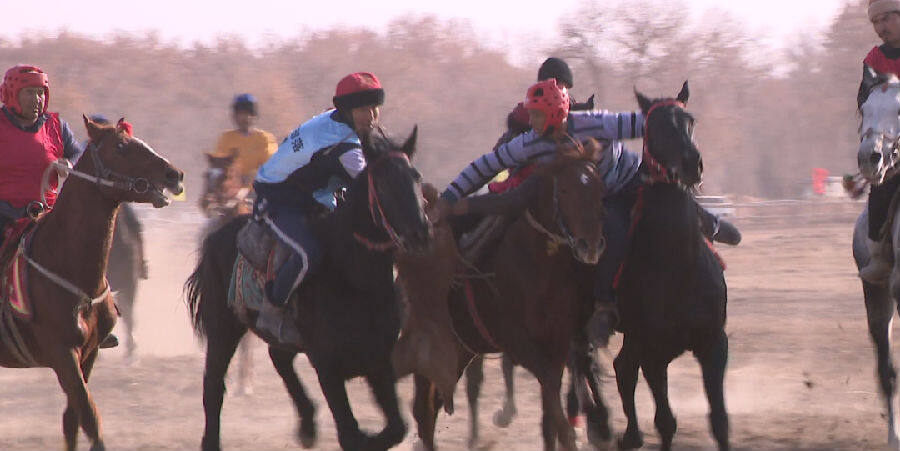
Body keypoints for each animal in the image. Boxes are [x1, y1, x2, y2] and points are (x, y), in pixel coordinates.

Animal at [0, 118, 183, 450]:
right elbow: (88, 414)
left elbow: (73, 419)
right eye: (121, 147)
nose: (173, 174)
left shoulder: (89, 351)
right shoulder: (62, 354)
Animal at [185, 127, 430, 451]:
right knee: (213, 384)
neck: (354, 276)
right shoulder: (327, 367)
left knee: (279, 358)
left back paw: (307, 425)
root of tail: (216, 235)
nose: (421, 232)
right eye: (384, 183)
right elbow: (351, 434)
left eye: (416, 177)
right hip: (223, 327)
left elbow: (396, 427)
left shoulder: (379, 361)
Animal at [394, 139, 604, 450]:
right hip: (429, 347)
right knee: (424, 411)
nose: (589, 245)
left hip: (463, 348)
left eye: (599, 187)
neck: (536, 266)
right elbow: (551, 396)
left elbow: (549, 409)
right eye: (565, 190)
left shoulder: (557, 342)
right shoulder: (517, 342)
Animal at [612, 81, 732, 451]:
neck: (679, 268)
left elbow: (720, 420)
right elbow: (665, 422)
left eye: (690, 121)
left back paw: (631, 435)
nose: (692, 164)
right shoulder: (655, 354)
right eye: (653, 126)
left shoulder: (713, 344)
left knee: (623, 367)